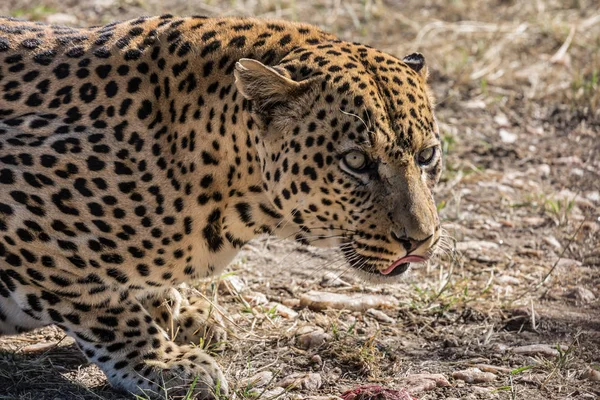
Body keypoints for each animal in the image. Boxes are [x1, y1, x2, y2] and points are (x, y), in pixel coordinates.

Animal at [0, 14, 440, 400]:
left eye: (427, 155)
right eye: (355, 161)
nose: (419, 240)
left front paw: (180, 312)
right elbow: (102, 304)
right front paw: (163, 363)